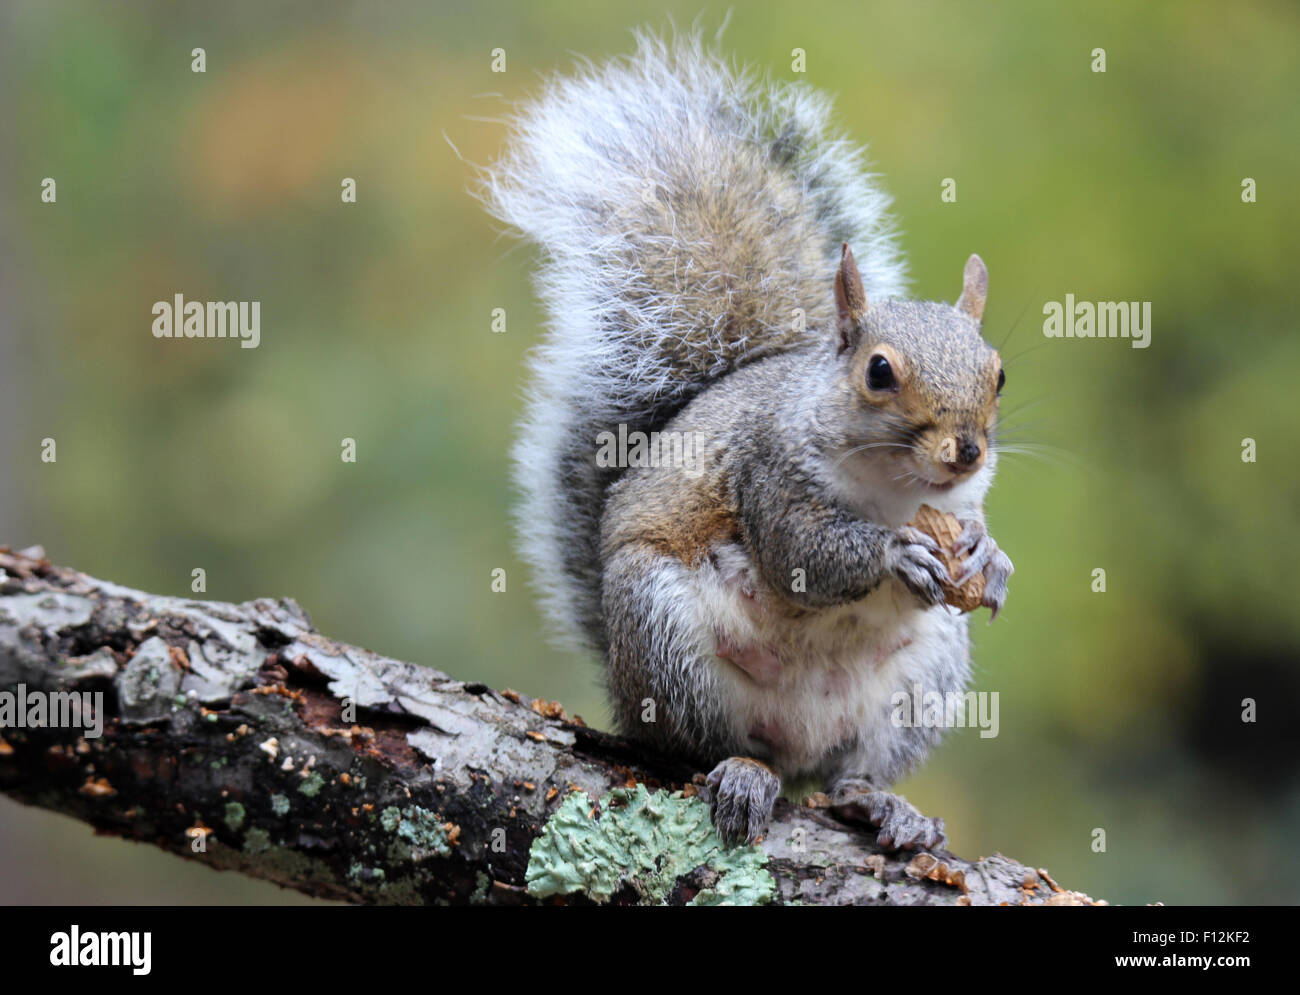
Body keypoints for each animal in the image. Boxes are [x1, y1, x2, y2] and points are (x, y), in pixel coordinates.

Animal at [483, 31, 1008, 848]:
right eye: (878, 371)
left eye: (999, 373)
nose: (967, 450)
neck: (896, 492)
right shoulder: (768, 474)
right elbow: (803, 553)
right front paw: (896, 554)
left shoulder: (959, 504)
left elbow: (972, 527)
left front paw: (990, 558)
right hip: (664, 636)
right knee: (700, 747)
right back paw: (742, 773)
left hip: (923, 682)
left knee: (847, 772)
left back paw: (880, 803)